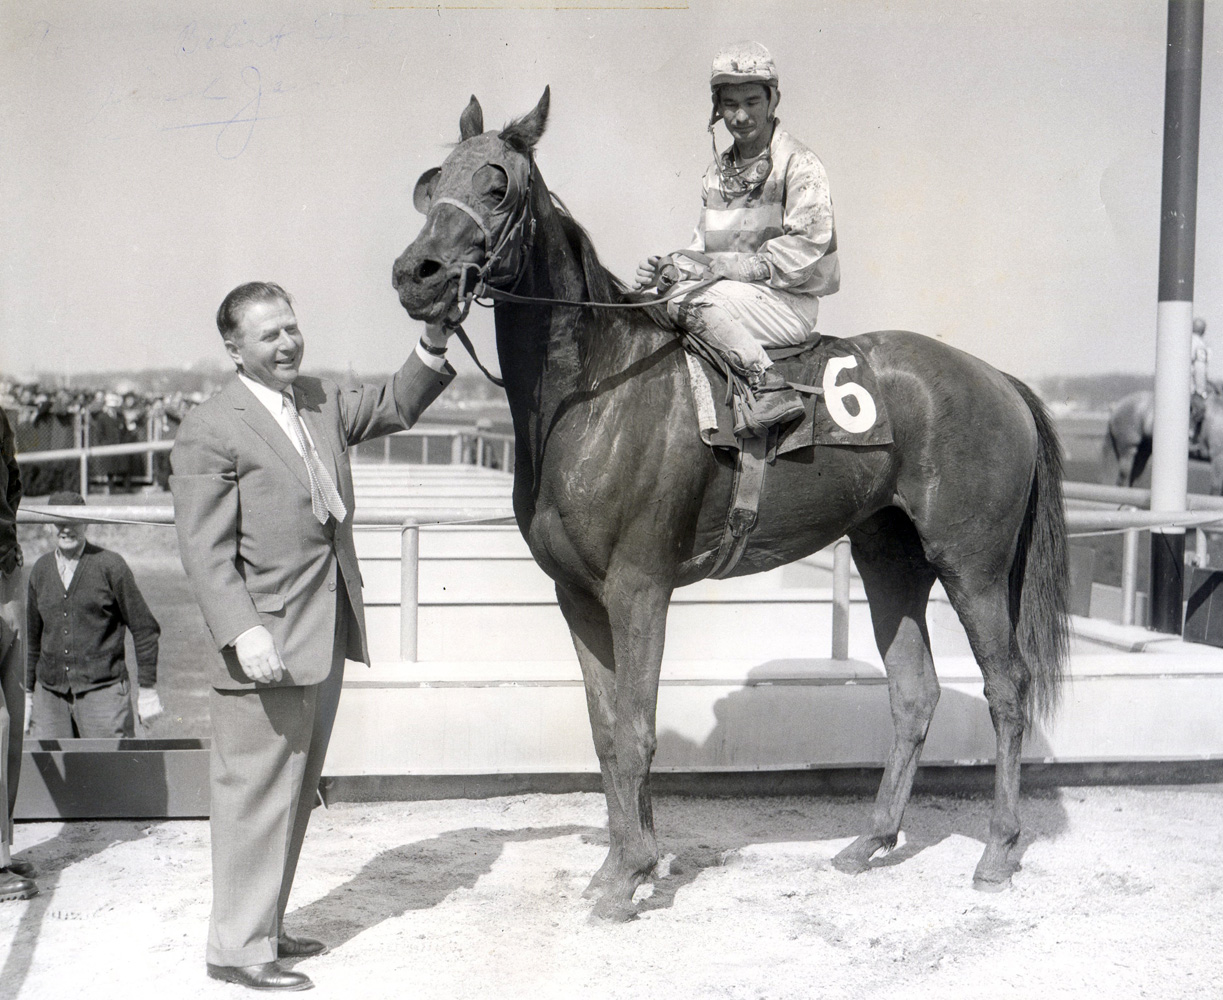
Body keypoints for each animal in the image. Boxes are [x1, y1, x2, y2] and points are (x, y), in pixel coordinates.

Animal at [393, 89, 1071, 914]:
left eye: (496, 186)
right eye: (432, 183)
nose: (415, 273)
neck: (598, 387)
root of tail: (999, 379)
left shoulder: (639, 587)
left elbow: (636, 730)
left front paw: (629, 875)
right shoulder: (577, 595)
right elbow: (605, 730)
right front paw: (624, 863)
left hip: (970, 564)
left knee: (1006, 690)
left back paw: (998, 850)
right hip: (889, 557)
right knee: (913, 694)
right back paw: (869, 841)